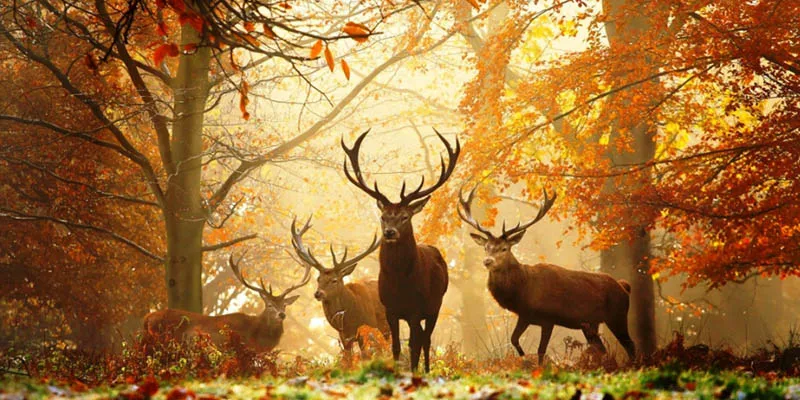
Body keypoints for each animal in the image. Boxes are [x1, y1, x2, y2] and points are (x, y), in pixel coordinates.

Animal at [289, 217, 390, 359]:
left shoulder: (367, 328)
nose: (318, 293)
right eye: (318, 279)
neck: (349, 320)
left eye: (334, 280)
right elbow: (348, 359)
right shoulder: (344, 337)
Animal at [341, 128, 459, 373]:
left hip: (435, 305)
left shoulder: (416, 309)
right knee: (422, 338)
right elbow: (395, 346)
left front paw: (414, 373)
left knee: (426, 339)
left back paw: (426, 370)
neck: (400, 283)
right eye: (383, 216)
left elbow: (413, 345)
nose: (389, 232)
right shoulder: (390, 310)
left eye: (405, 216)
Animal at [458, 187, 636, 364]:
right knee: (601, 348)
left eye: (504, 248)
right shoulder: (525, 316)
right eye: (486, 247)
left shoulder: (548, 318)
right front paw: (524, 358)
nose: (487, 261)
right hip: (591, 323)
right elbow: (514, 339)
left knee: (630, 345)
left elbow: (541, 350)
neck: (523, 291)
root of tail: (624, 286)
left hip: (617, 315)